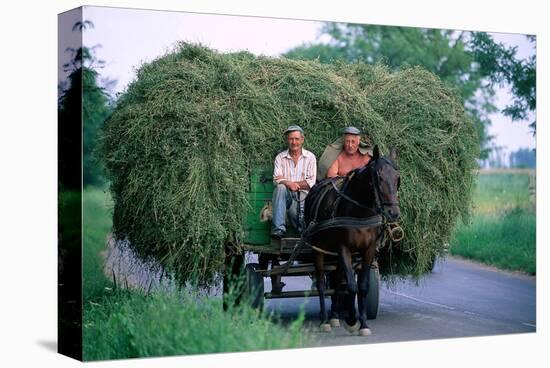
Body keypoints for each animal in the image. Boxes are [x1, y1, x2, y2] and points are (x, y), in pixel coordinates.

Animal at [304, 145, 404, 334]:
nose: (393, 213)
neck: (359, 211)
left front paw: (363, 323)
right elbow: (351, 285)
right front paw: (351, 320)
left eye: (397, 178)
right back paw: (324, 319)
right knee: (321, 283)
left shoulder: (369, 249)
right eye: (379, 177)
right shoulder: (344, 248)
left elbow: (362, 286)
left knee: (336, 281)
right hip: (316, 248)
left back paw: (334, 316)